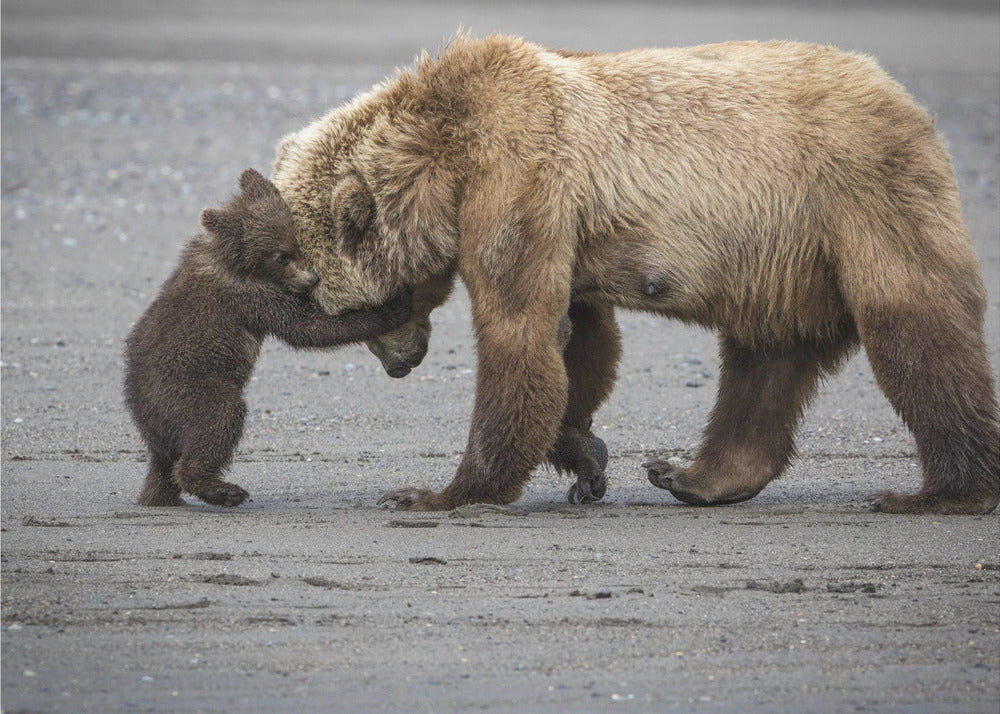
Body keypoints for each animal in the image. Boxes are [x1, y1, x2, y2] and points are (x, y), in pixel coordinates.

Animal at [123, 168, 411, 508]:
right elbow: (308, 327)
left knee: (163, 465)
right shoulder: (250, 296)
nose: (312, 278)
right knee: (218, 420)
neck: (234, 261)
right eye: (280, 256)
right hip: (188, 388)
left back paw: (162, 497)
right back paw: (224, 490)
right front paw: (395, 304)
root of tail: (144, 415)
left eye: (296, 244)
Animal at [270, 35, 1000, 515]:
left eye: (344, 306)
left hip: (859, 197)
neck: (443, 157)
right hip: (782, 260)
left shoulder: (519, 176)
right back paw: (695, 476)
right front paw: (586, 458)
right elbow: (578, 339)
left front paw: (439, 492)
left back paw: (941, 492)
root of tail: (905, 99)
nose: (400, 365)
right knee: (765, 358)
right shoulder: (561, 221)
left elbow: (519, 333)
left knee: (916, 329)